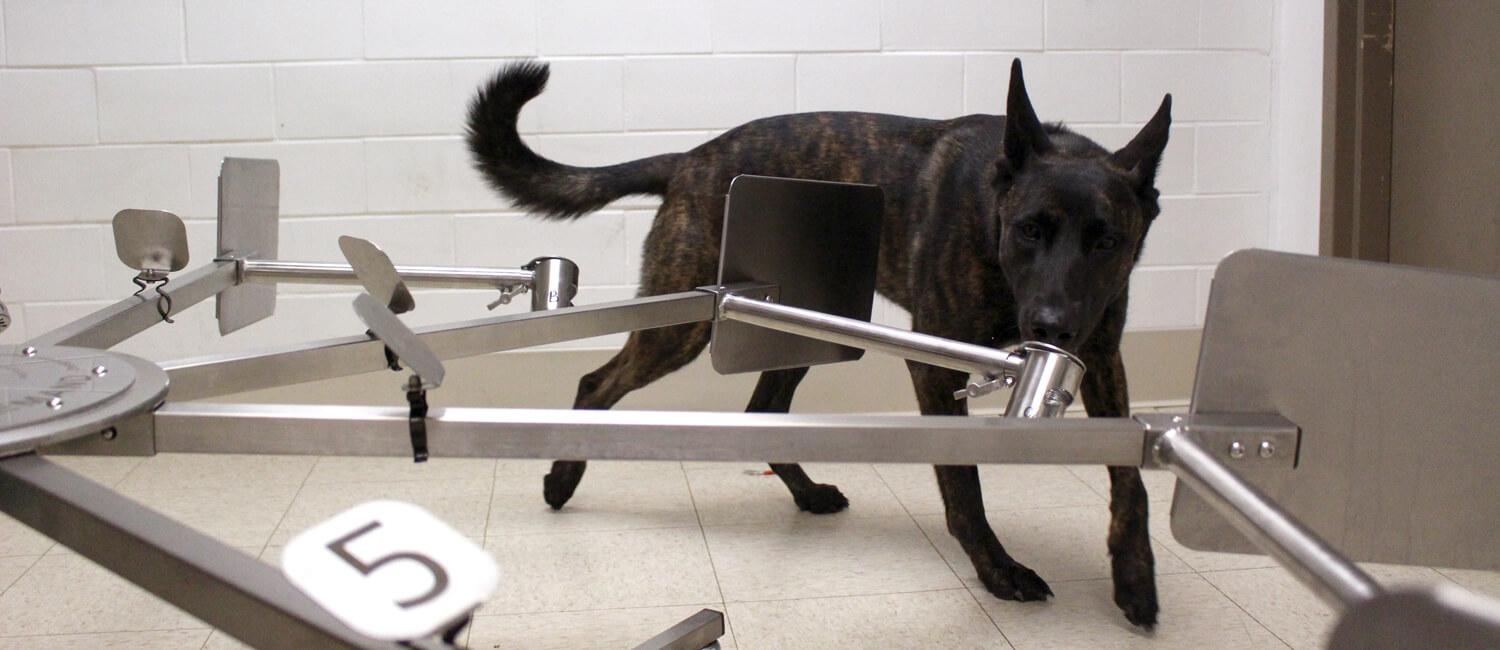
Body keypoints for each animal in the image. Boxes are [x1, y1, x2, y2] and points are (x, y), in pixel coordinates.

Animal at [468, 58, 1170, 624]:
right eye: (1029, 230)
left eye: (1107, 241)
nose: (1051, 326)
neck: (991, 212)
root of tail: (689, 161)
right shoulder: (936, 366)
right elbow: (963, 484)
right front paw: (998, 569)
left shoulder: (1097, 358)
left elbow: (1130, 478)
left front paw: (1135, 577)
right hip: (683, 328)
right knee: (596, 382)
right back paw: (562, 477)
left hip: (799, 332)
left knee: (762, 412)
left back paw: (803, 492)